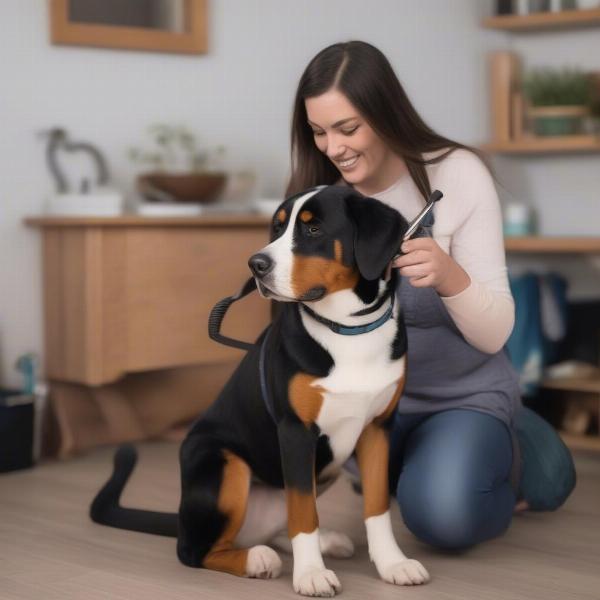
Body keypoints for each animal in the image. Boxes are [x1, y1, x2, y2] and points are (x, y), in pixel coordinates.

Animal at [90, 186, 432, 596]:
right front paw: (310, 574)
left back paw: (324, 541)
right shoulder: (296, 432)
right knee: (194, 550)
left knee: (275, 524)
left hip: (323, 468)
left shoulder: (378, 428)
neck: (348, 331)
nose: (256, 265)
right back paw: (257, 559)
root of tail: (183, 517)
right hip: (224, 463)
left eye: (313, 229)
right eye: (277, 227)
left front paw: (392, 563)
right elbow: (303, 512)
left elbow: (376, 506)